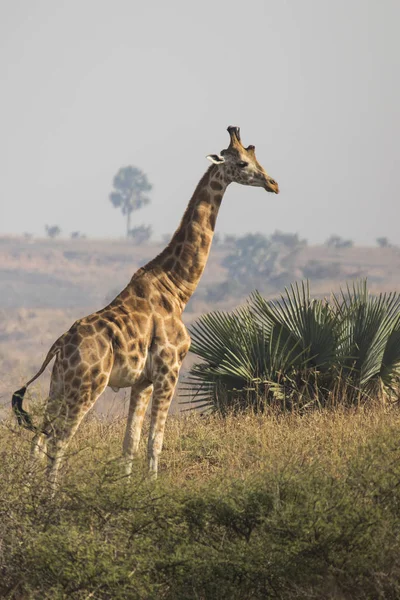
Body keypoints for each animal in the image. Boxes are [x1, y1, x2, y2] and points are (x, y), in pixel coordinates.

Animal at [12, 125, 280, 482]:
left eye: (254, 157)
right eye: (241, 163)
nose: (273, 183)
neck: (177, 288)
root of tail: (59, 345)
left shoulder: (142, 381)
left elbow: (131, 442)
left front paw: (128, 488)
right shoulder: (169, 369)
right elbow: (156, 440)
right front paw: (152, 487)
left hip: (60, 384)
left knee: (39, 440)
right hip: (88, 385)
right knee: (59, 440)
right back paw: (50, 494)